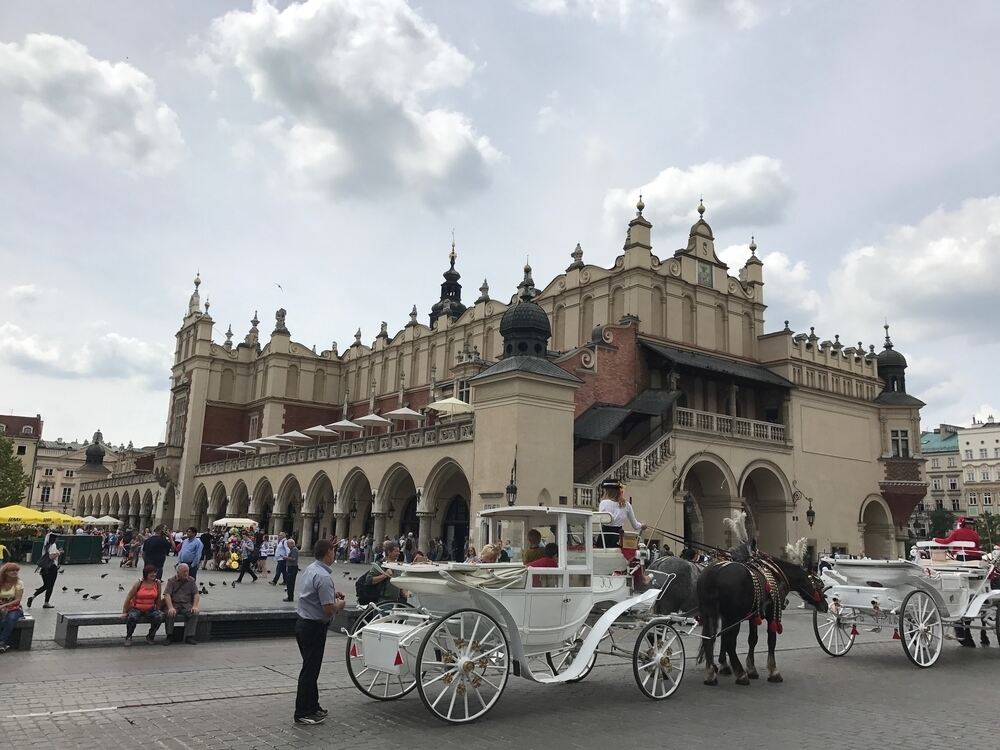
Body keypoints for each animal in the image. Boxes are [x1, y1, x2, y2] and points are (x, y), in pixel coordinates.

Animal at [696, 552, 828, 688]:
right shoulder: (772, 614)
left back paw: (711, 674)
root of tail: (715, 571)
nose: (825, 605)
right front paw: (773, 671)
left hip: (710, 612)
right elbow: (771, 640)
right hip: (733, 616)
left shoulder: (754, 616)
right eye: (819, 585)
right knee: (728, 640)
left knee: (709, 637)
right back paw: (740, 674)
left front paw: (751, 669)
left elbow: (752, 640)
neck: (777, 575)